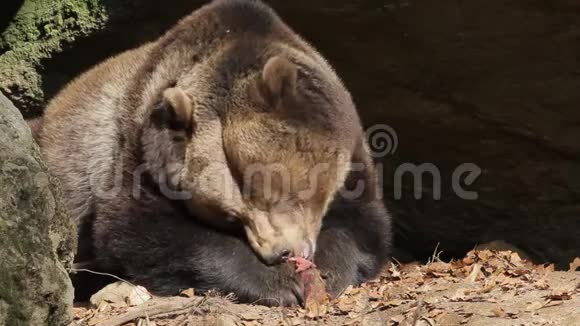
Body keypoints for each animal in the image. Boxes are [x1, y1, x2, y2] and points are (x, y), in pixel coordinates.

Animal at [37, 0, 390, 306]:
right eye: (231, 217)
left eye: (276, 190)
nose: (282, 253)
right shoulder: (141, 155)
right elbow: (140, 230)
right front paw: (280, 283)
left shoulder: (352, 153)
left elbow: (364, 223)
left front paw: (327, 272)